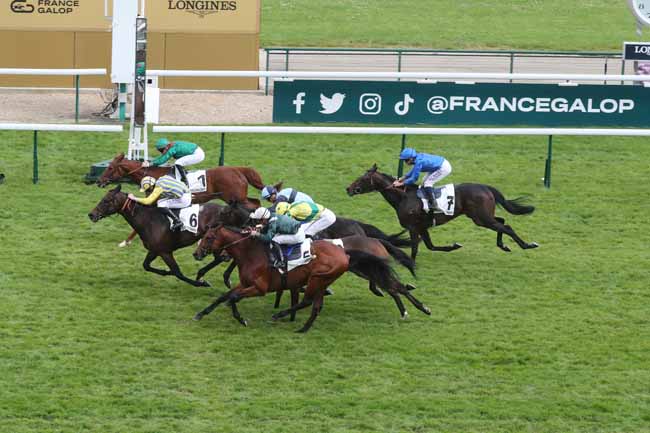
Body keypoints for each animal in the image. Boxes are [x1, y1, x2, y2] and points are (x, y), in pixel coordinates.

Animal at [344, 165, 536, 260]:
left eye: (362, 178)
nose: (348, 188)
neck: (404, 197)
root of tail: (485, 187)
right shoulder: (422, 227)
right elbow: (431, 246)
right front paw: (454, 246)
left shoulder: (413, 227)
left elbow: (415, 248)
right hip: (482, 217)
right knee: (502, 221)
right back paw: (503, 245)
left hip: (481, 218)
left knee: (507, 227)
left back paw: (527, 245)